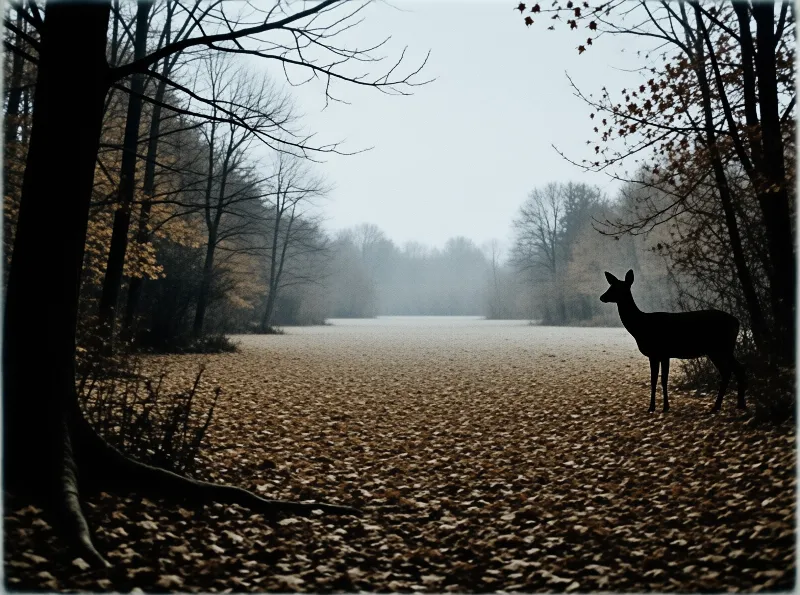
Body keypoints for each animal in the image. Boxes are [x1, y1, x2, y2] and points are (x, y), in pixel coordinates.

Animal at [600, 270, 746, 413]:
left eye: (618, 288)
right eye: (611, 286)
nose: (602, 297)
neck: (641, 327)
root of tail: (737, 322)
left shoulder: (661, 353)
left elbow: (662, 380)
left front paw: (661, 407)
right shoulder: (658, 355)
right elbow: (655, 379)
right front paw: (656, 407)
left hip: (718, 348)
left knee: (728, 371)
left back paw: (718, 406)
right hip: (724, 349)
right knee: (737, 368)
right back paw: (739, 404)